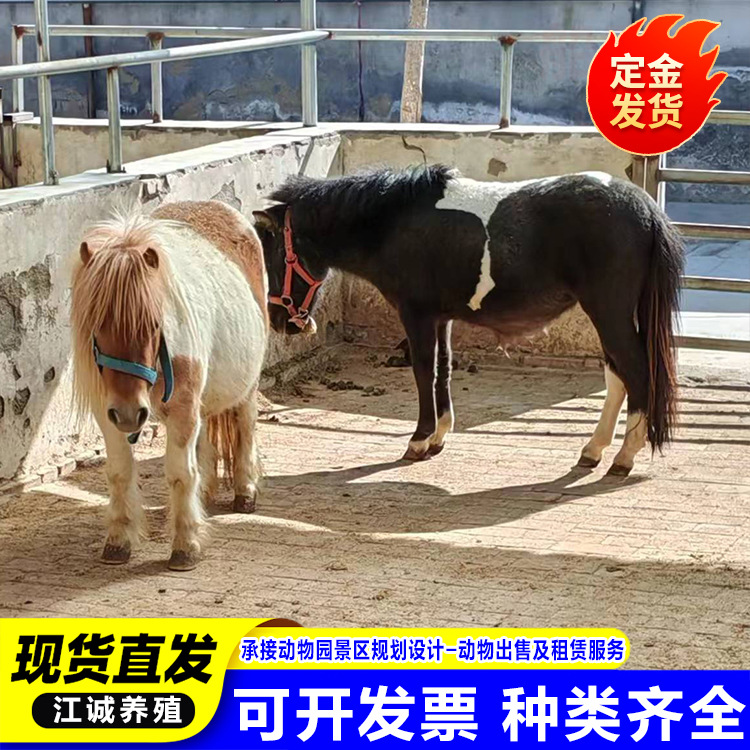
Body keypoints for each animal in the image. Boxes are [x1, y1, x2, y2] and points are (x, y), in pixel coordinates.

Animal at [71, 201, 269, 570]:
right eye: (96, 324)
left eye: (153, 323)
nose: (130, 413)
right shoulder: (108, 415)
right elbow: (119, 473)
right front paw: (118, 541)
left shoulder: (181, 411)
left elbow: (180, 473)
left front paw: (186, 545)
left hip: (246, 385)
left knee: (245, 426)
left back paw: (245, 491)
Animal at [253, 164, 684, 476]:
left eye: (274, 255)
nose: (280, 319)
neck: (393, 222)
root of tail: (644, 206)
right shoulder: (441, 318)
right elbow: (443, 370)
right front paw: (439, 436)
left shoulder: (416, 314)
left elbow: (423, 371)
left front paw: (419, 439)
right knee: (618, 376)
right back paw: (593, 450)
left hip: (608, 312)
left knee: (636, 372)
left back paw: (624, 457)